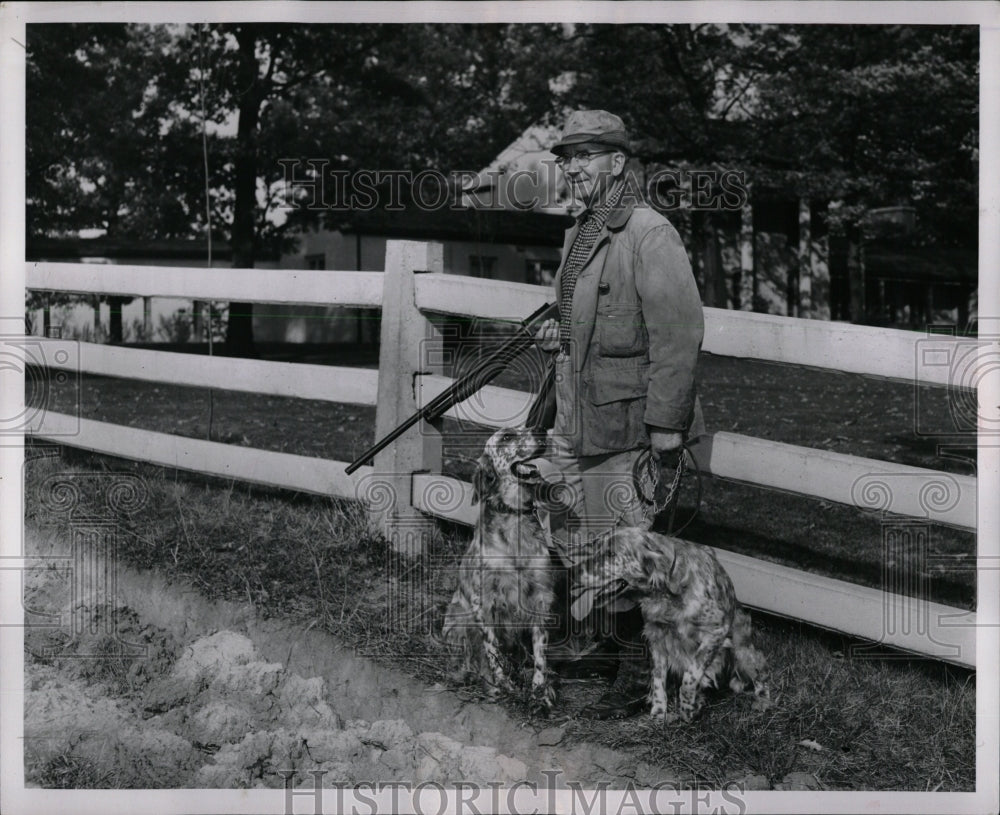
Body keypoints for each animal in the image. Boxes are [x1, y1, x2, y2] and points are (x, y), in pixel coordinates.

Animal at [442, 428, 560, 712]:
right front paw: (503, 686)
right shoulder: (482, 602)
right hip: (457, 621)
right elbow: (492, 651)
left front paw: (539, 692)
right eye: (507, 437)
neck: (513, 516)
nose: (541, 430)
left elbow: (540, 653)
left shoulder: (540, 597)